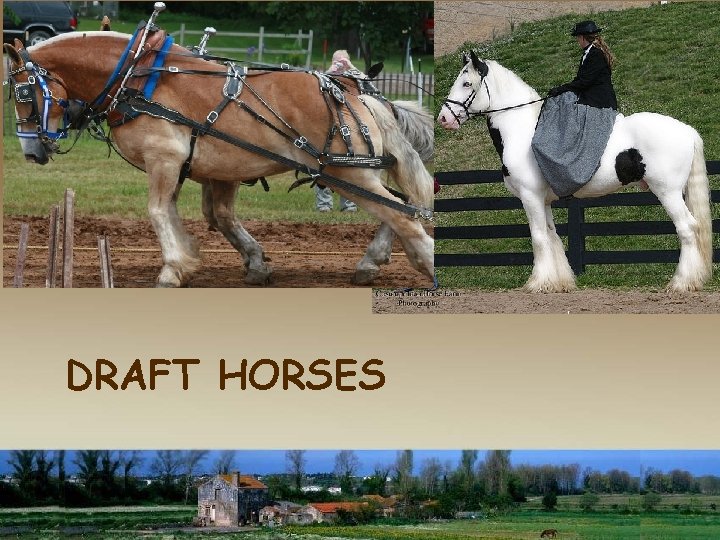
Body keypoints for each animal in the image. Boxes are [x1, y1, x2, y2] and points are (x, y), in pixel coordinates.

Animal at [5, 27, 434, 287]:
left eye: (23, 94)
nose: (31, 151)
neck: (137, 81)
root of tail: (354, 94)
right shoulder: (210, 170)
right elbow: (212, 215)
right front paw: (238, 261)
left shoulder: (164, 159)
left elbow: (159, 211)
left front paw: (172, 268)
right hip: (355, 173)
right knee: (401, 206)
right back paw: (375, 261)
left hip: (346, 173)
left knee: (402, 214)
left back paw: (422, 262)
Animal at [438, 51, 712, 293]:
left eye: (466, 83)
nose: (443, 118)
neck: (522, 131)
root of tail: (688, 130)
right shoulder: (543, 201)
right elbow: (552, 236)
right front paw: (559, 283)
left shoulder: (530, 197)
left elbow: (538, 237)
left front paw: (537, 283)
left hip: (668, 193)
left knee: (687, 229)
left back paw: (681, 283)